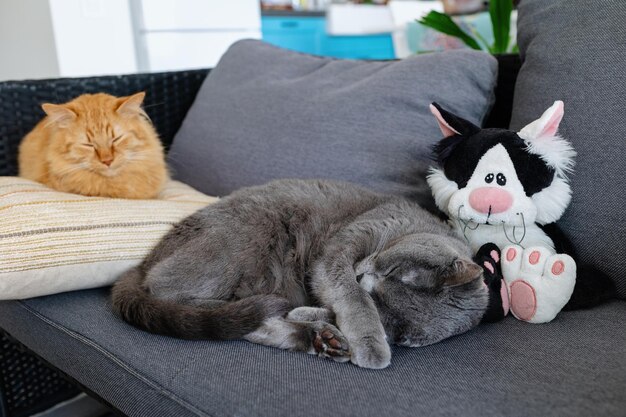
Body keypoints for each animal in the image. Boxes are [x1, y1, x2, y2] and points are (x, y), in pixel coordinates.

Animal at [114, 179, 490, 368]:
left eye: (395, 327)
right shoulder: (338, 252)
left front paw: (325, 322)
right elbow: (350, 296)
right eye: (394, 269)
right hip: (250, 228)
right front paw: (372, 349)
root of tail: (143, 262)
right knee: (169, 292)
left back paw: (320, 338)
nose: (362, 275)